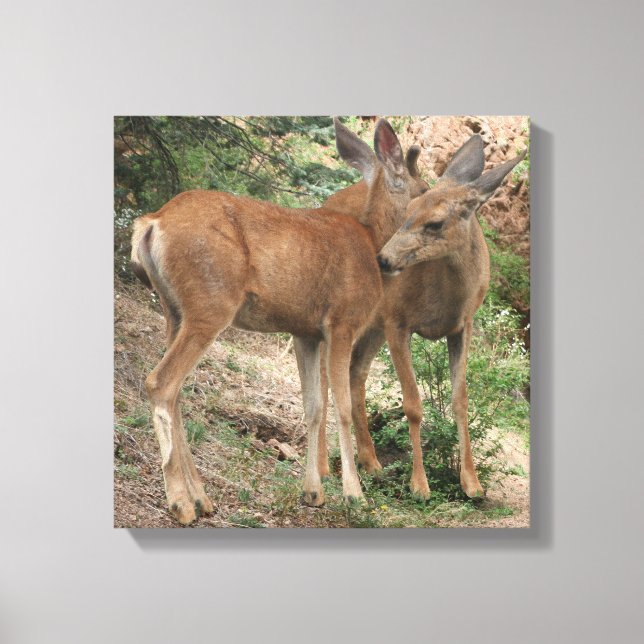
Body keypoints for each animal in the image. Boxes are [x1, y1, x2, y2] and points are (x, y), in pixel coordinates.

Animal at [129, 118, 429, 524]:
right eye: (424, 190)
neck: (371, 242)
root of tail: (151, 223)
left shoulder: (305, 332)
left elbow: (314, 407)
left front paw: (313, 492)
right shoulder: (342, 322)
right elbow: (343, 407)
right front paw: (354, 494)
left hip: (174, 310)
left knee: (175, 392)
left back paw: (202, 499)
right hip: (210, 305)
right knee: (161, 382)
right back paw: (180, 503)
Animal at [306, 129, 527, 500]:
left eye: (436, 223)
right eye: (408, 209)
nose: (383, 259)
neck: (446, 297)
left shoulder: (463, 325)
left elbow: (460, 399)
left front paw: (472, 484)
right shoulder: (397, 321)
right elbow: (413, 403)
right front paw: (420, 484)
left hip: (371, 326)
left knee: (356, 372)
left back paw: (371, 462)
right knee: (325, 380)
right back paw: (325, 467)